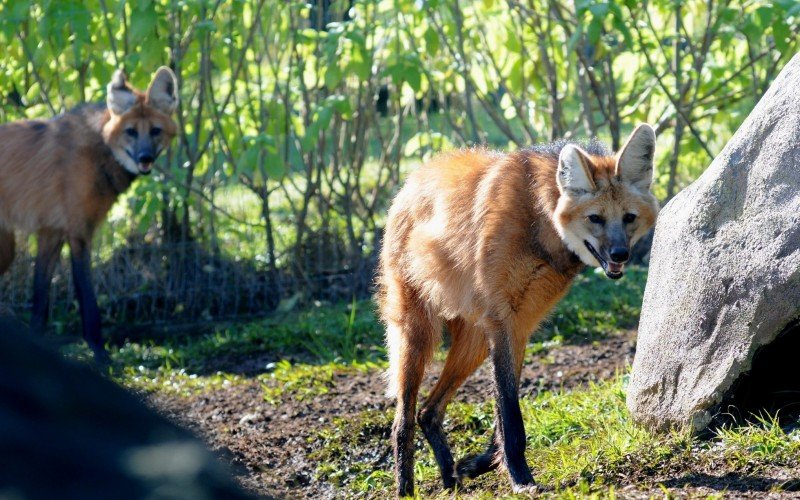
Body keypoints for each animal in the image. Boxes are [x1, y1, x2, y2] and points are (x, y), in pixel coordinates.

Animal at [378, 125, 660, 496]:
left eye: (628, 218)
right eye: (595, 218)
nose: (619, 254)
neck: (540, 223)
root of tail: (410, 181)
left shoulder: (520, 324)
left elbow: (502, 415)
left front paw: (477, 464)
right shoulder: (503, 321)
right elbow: (510, 413)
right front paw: (520, 478)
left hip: (474, 341)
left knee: (429, 411)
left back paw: (450, 477)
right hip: (419, 331)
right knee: (404, 417)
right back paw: (405, 488)